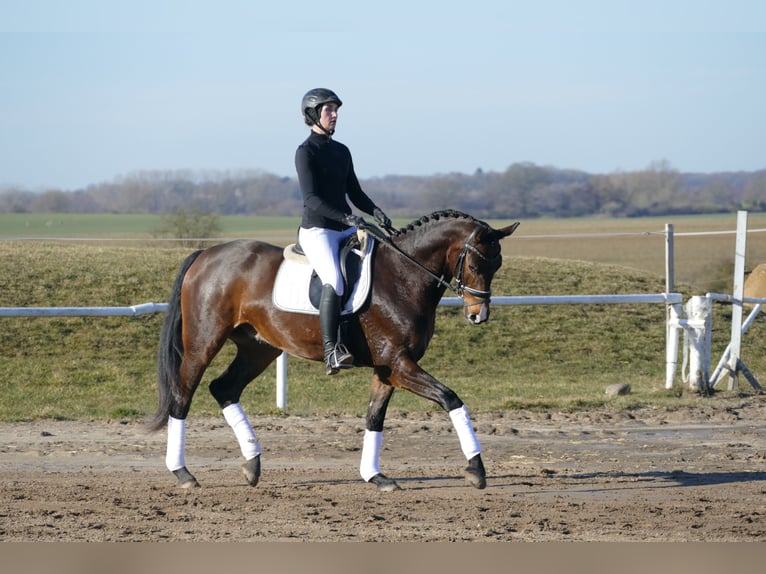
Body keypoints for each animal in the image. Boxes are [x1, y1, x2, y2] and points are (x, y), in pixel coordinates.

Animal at [149, 209, 519, 492]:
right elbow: (450, 398)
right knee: (183, 395)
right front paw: (476, 470)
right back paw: (182, 473)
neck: (403, 276)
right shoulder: (399, 363)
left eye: (497, 265)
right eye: (475, 264)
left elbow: (374, 417)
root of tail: (205, 255)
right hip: (203, 342)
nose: (478, 315)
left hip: (258, 349)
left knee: (224, 388)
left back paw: (252, 464)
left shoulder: (388, 368)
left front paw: (375, 476)